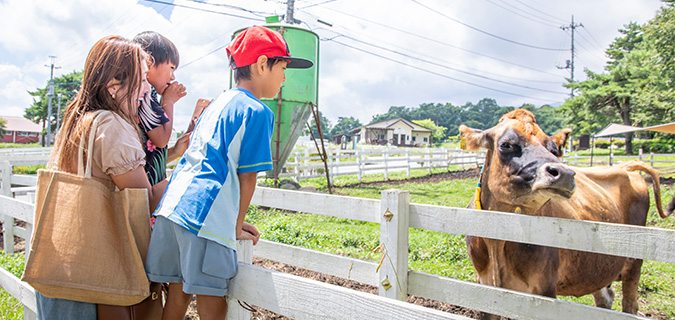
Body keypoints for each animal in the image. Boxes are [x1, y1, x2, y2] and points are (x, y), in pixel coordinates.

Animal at [460, 109, 672, 318]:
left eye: (554, 150)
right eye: (506, 144)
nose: (565, 173)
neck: (497, 240)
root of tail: (624, 166)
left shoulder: (543, 288)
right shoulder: (485, 286)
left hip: (634, 263)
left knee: (630, 304)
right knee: (605, 297)